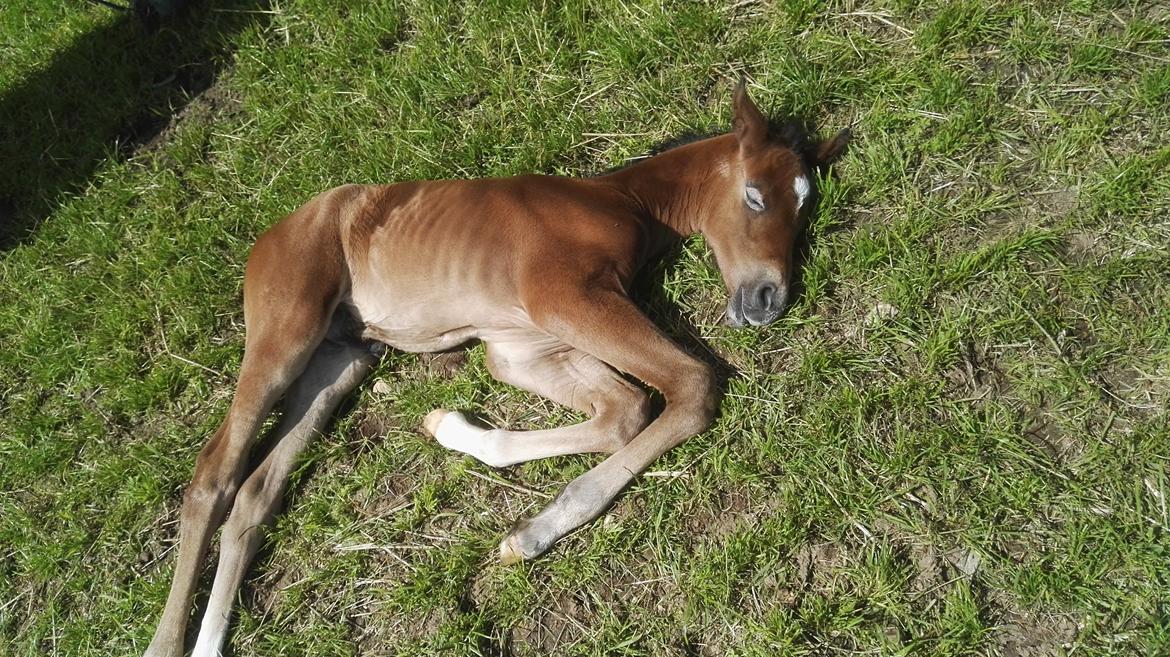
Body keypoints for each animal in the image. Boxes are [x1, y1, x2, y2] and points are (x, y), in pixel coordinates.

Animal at [143, 83, 851, 654]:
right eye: (755, 197)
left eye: (805, 207)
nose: (769, 299)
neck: (621, 200)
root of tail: (269, 235)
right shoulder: (565, 298)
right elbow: (691, 387)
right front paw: (532, 535)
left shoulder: (524, 342)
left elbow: (623, 412)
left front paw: (452, 430)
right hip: (286, 330)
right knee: (213, 475)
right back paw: (169, 642)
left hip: (339, 358)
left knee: (257, 490)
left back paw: (212, 639)